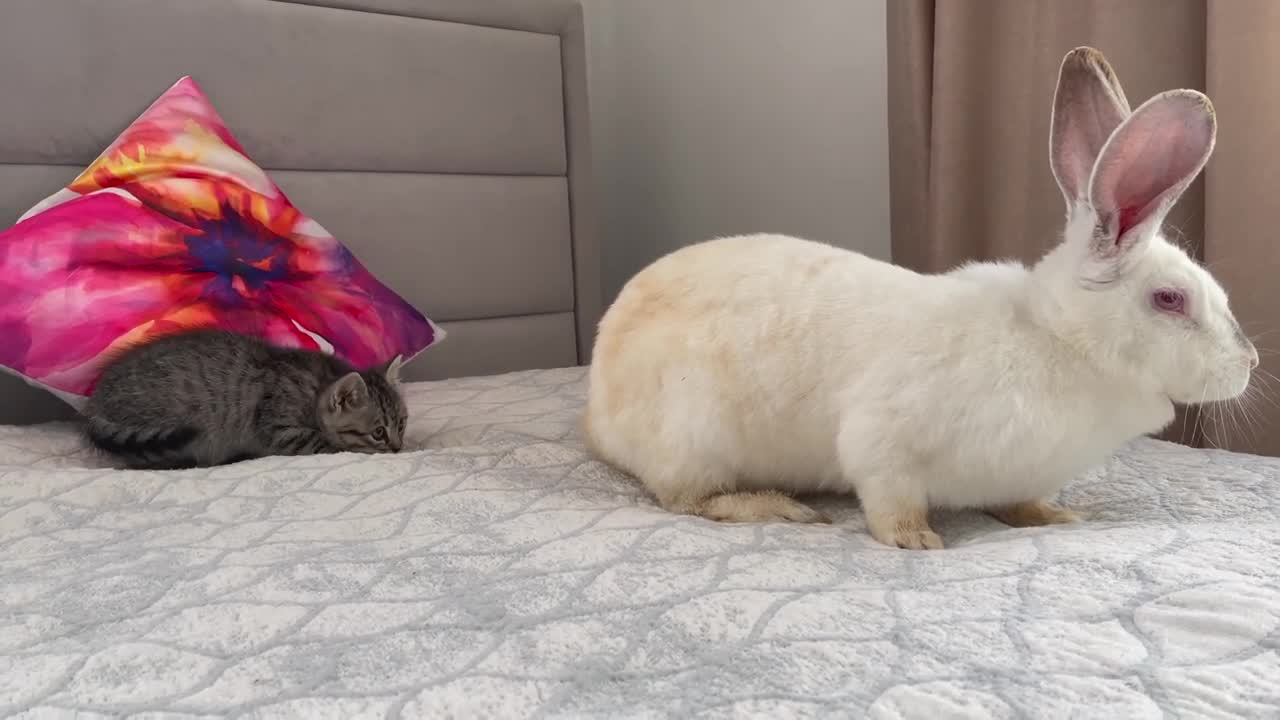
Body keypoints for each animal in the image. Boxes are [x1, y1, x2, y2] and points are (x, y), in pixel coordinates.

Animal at [83, 330, 404, 468]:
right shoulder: (280, 429)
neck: (314, 389)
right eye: (378, 432)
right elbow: (327, 444)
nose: (399, 448)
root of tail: (94, 406)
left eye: (401, 424)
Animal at [583, 47, 1259, 545]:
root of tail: (595, 406)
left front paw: (1050, 516)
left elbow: (1019, 500)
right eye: (1169, 300)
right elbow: (890, 499)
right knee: (686, 498)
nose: (1249, 363)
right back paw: (779, 508)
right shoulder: (884, 441)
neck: (1059, 340)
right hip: (695, 437)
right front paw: (918, 541)